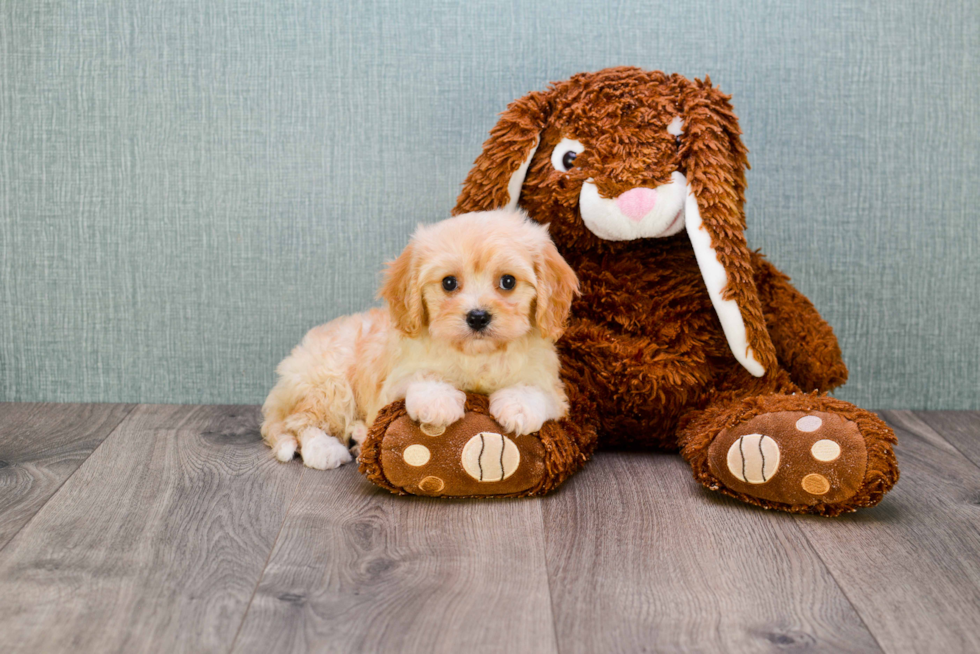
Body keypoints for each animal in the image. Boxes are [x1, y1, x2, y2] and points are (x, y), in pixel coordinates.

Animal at [262, 210, 580, 472]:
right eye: (449, 283)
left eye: (508, 282)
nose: (478, 317)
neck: (476, 355)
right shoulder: (396, 377)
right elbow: (422, 377)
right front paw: (438, 402)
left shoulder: (553, 386)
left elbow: (535, 390)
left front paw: (518, 407)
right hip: (327, 382)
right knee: (302, 422)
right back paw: (325, 449)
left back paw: (359, 435)